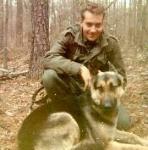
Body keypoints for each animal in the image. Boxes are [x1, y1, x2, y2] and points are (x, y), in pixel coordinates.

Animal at [17, 71, 148, 150]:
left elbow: (132, 136)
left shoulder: (111, 133)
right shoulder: (108, 143)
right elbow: (132, 147)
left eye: (113, 86)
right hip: (66, 117)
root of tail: (23, 142)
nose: (107, 106)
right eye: (100, 88)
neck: (95, 104)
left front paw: (144, 141)